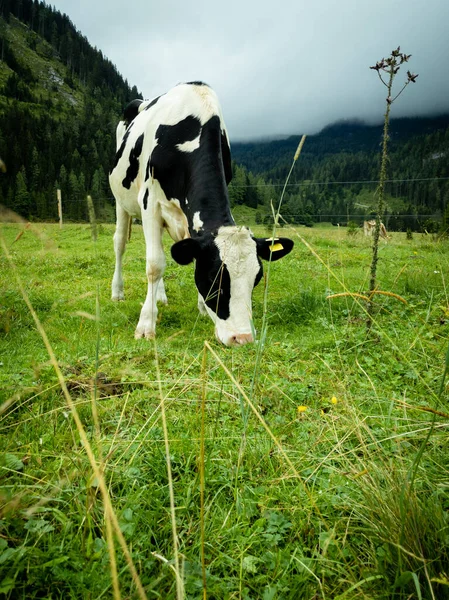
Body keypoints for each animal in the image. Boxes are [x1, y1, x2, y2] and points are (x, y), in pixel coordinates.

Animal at [107, 83, 292, 346]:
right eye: (214, 279)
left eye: (256, 279)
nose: (243, 338)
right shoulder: (150, 202)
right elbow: (154, 265)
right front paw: (146, 325)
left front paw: (202, 308)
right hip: (121, 201)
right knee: (121, 244)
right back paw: (118, 292)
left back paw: (160, 296)